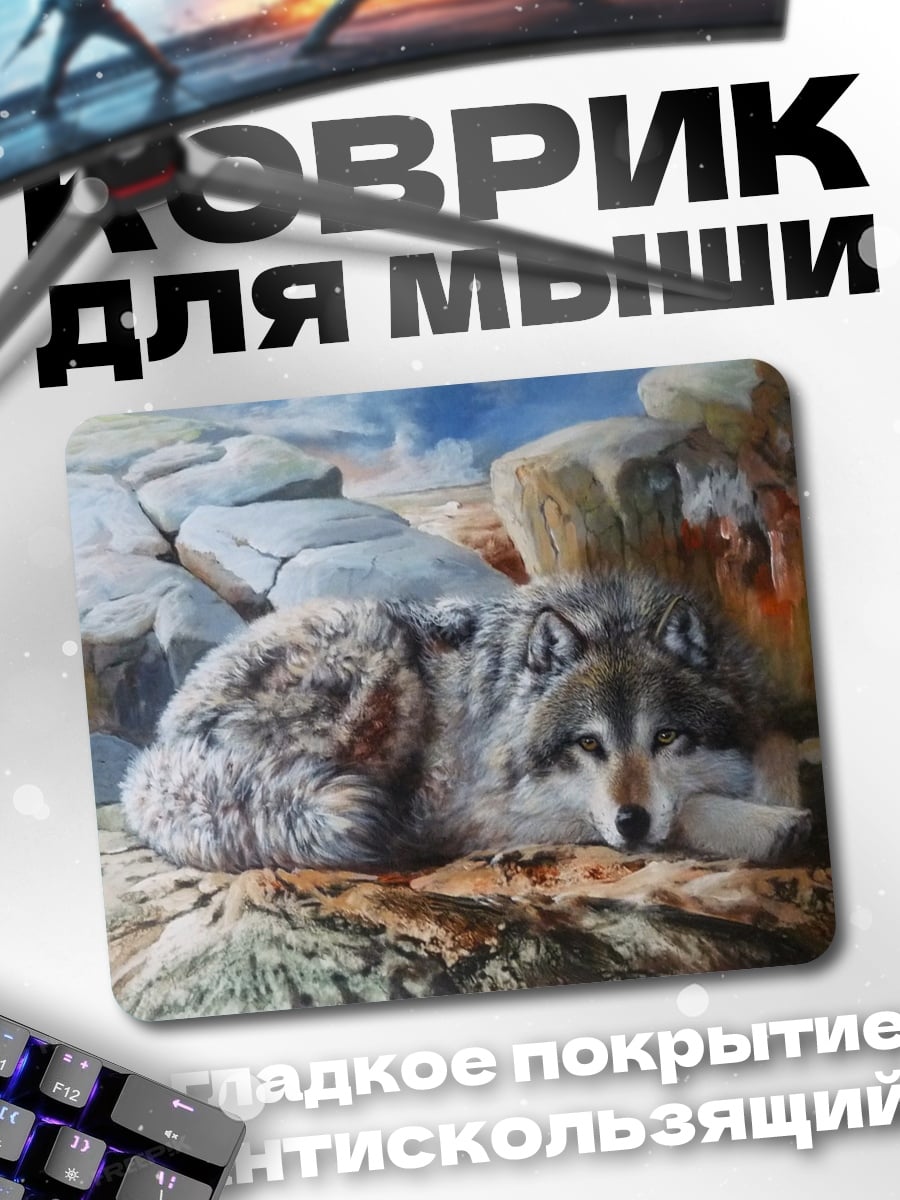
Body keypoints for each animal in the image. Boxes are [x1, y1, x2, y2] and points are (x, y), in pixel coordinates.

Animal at [120, 572, 812, 873]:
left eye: (664, 736)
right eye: (589, 744)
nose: (631, 821)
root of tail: (160, 744)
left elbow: (774, 743)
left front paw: (778, 797)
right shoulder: (473, 808)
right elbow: (690, 808)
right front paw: (768, 827)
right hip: (377, 663)